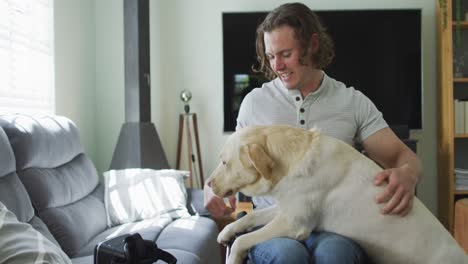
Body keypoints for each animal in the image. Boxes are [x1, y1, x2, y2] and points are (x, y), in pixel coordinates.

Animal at [208, 125, 468, 264]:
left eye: (225, 162)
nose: (208, 185)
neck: (293, 159)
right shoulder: (285, 209)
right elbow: (250, 217)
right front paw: (226, 231)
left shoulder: (293, 223)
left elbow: (243, 240)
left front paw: (233, 257)